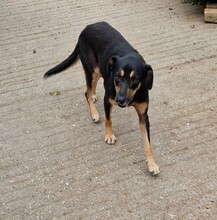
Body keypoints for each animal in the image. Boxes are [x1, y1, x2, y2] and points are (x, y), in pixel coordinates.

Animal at [43, 21, 159, 175]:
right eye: (117, 77)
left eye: (135, 80)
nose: (120, 100)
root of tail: (87, 28)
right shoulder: (108, 100)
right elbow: (108, 120)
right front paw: (109, 135)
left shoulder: (143, 115)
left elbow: (147, 142)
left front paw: (151, 163)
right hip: (93, 70)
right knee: (86, 93)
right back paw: (94, 113)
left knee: (90, 90)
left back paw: (93, 96)